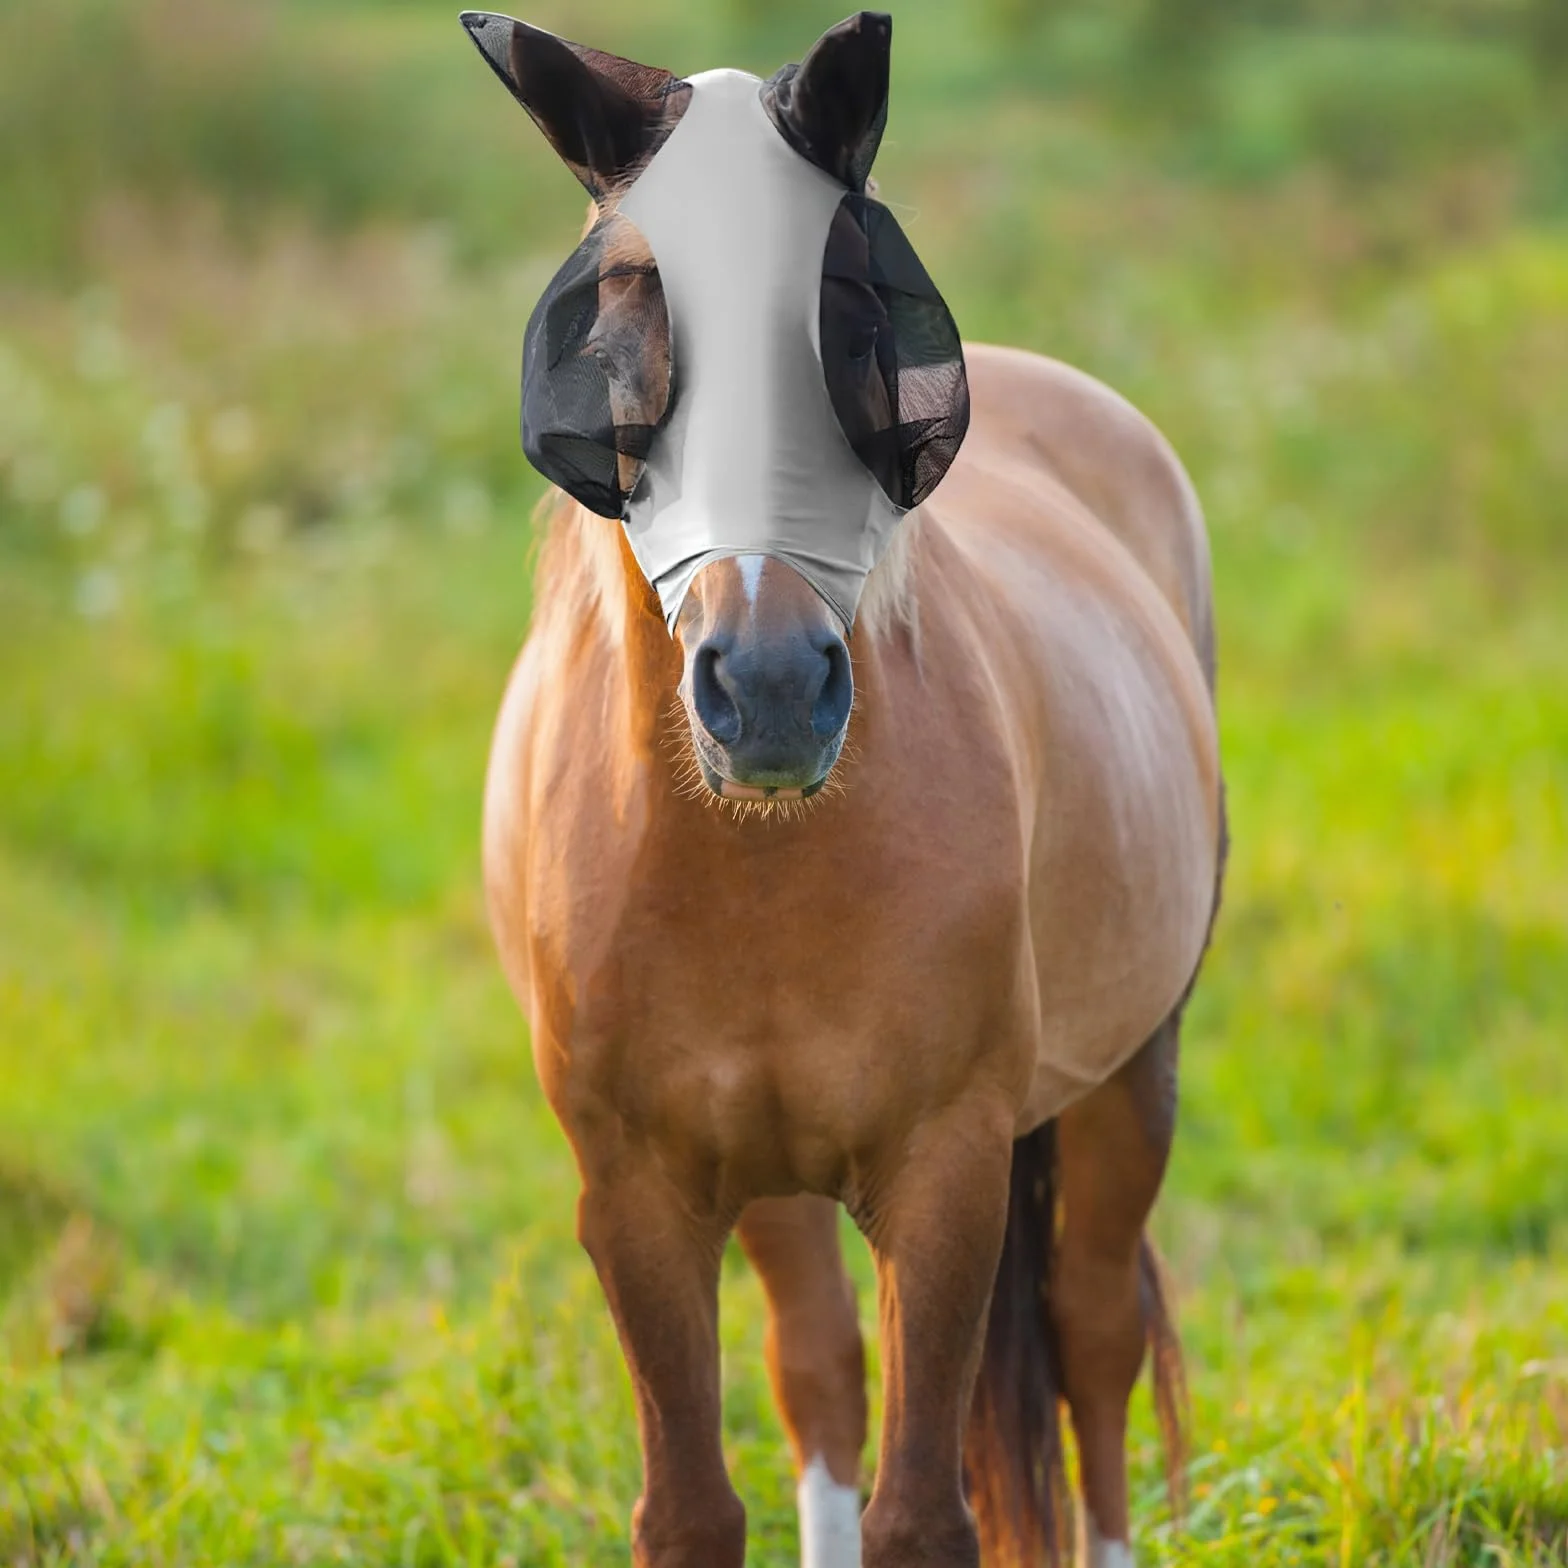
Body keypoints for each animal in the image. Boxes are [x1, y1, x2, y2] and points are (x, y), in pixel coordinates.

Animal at [468, 11, 1226, 1566]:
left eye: (849, 308)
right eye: (627, 300)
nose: (767, 685)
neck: (756, 862)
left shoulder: (946, 1179)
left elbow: (924, 1509)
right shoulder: (638, 1199)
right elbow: (697, 1502)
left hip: (1133, 1073)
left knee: (1094, 1333)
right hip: (770, 1185)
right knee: (816, 1365)